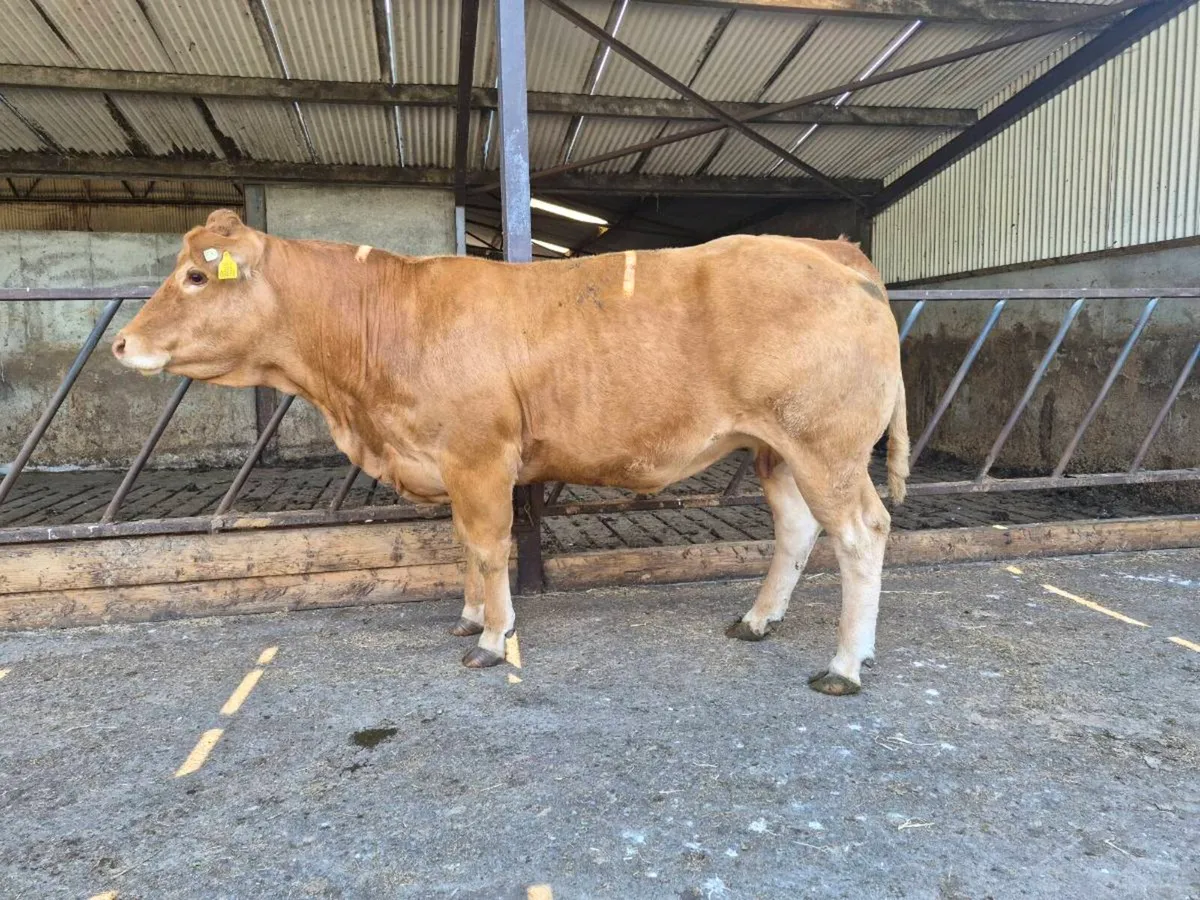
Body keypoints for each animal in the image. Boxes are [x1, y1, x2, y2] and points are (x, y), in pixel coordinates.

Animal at [113, 210, 908, 696]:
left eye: (195, 275)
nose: (120, 343)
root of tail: (830, 249)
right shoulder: (448, 459)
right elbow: (464, 544)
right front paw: (470, 616)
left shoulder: (478, 456)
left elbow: (491, 546)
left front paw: (494, 639)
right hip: (776, 448)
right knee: (797, 529)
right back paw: (757, 620)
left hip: (827, 444)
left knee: (860, 533)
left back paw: (845, 664)